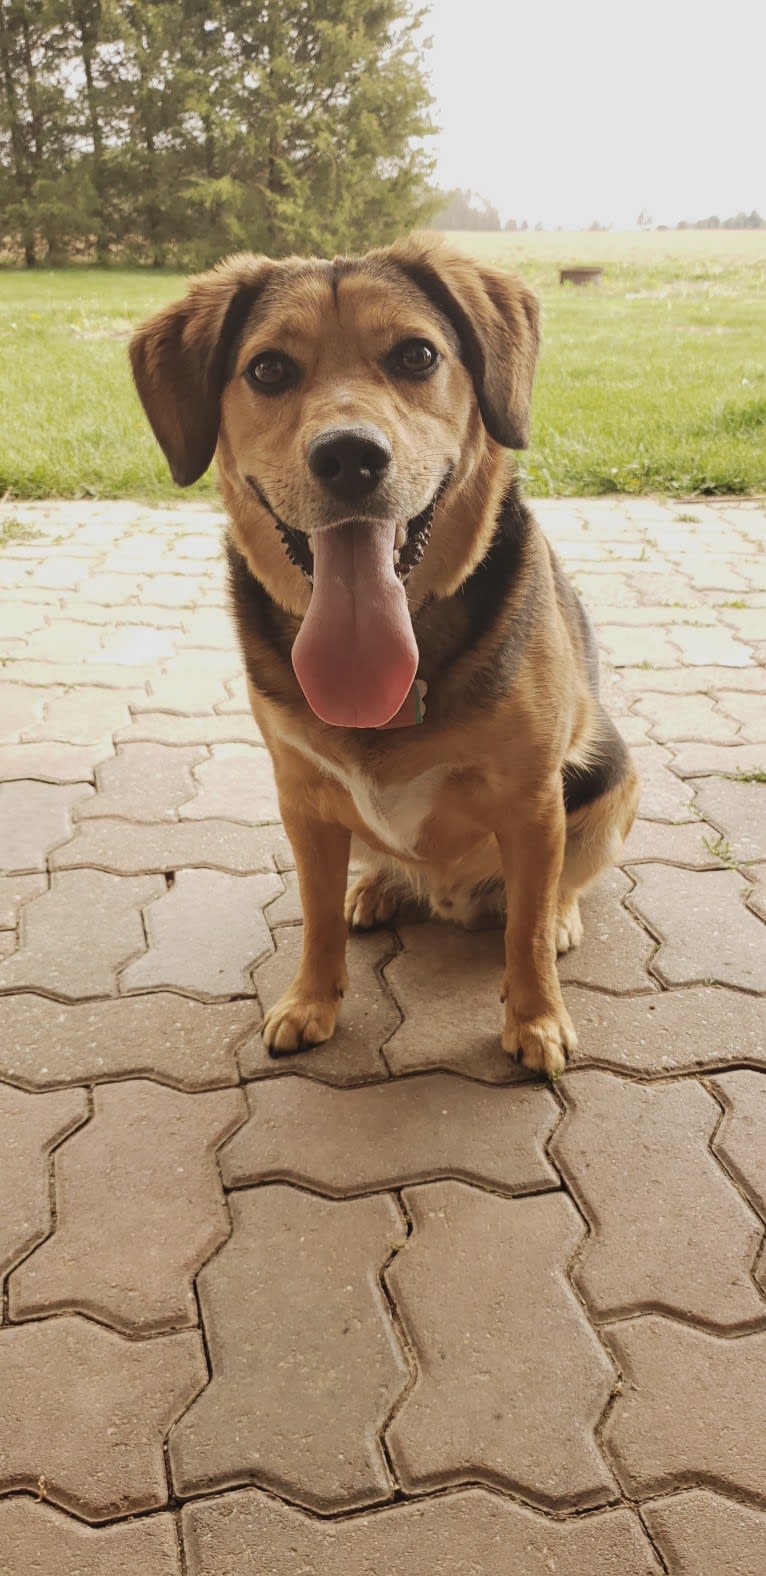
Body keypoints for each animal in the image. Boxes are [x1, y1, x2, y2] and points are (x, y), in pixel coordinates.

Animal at [131, 233, 639, 1077]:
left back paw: (557, 915)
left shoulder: (534, 803)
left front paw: (535, 1019)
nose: (348, 457)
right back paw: (374, 887)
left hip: (609, 780)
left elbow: (526, 932)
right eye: (268, 369)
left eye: (416, 355)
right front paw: (312, 999)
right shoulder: (302, 799)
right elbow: (314, 918)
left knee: (560, 887)